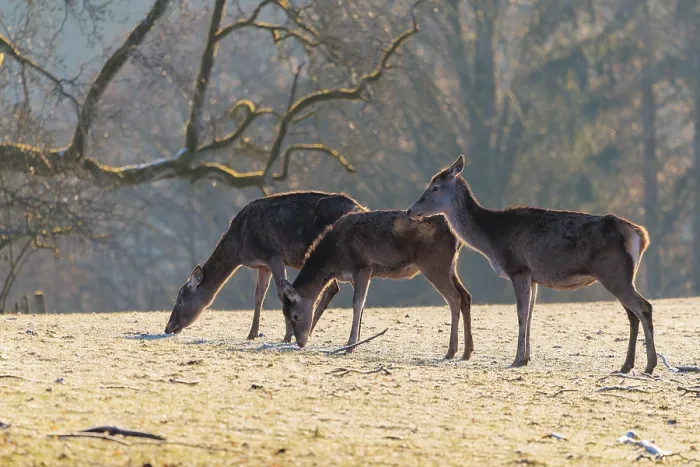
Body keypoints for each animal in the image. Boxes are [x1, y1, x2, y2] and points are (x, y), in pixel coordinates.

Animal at [164, 191, 364, 341]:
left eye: (180, 300)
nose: (168, 327)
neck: (240, 247)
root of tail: (361, 207)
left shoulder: (273, 254)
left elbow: (281, 293)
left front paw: (287, 335)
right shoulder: (262, 265)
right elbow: (259, 294)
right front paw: (252, 334)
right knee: (336, 289)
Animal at [280, 210, 474, 360]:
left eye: (295, 316)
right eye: (285, 314)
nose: (301, 342)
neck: (333, 258)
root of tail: (457, 237)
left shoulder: (363, 268)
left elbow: (357, 304)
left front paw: (350, 346)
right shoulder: (357, 275)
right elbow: (362, 306)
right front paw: (355, 342)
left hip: (434, 263)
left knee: (454, 297)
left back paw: (451, 351)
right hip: (449, 266)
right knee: (465, 295)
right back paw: (467, 351)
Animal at [407, 155, 657, 374]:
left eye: (435, 187)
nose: (411, 210)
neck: (491, 239)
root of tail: (640, 235)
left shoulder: (518, 268)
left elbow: (521, 313)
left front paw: (517, 359)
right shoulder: (533, 276)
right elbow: (530, 314)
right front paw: (526, 357)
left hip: (613, 272)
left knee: (644, 307)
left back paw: (649, 365)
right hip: (622, 275)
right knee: (632, 313)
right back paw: (627, 365)